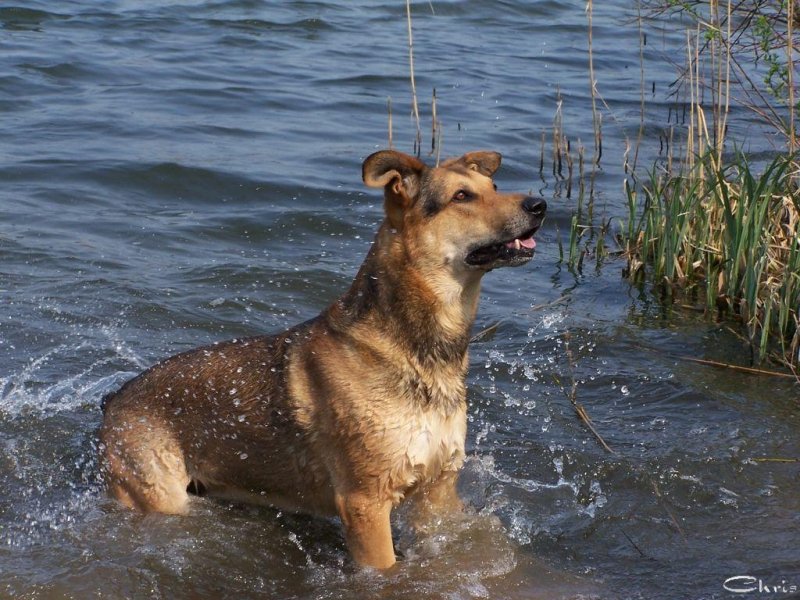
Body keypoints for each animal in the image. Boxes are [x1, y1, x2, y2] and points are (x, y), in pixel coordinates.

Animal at [100, 149, 548, 568]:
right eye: (462, 196)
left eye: (493, 187)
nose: (540, 205)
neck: (416, 350)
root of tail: (113, 400)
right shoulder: (365, 503)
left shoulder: (437, 493)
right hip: (159, 494)